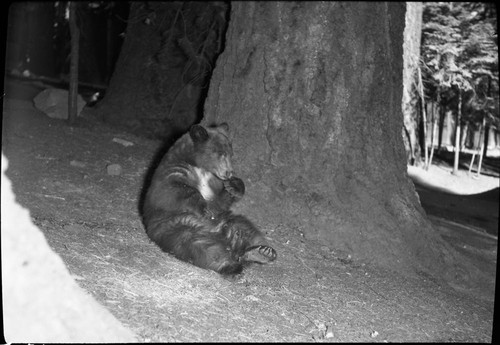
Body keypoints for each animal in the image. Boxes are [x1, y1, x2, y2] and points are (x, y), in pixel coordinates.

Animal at [143, 123, 278, 274]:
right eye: (221, 154)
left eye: (231, 154)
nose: (229, 172)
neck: (201, 168)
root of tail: (224, 237)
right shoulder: (172, 171)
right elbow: (172, 190)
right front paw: (204, 208)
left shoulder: (215, 183)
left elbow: (220, 201)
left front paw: (234, 186)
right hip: (178, 227)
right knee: (202, 247)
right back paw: (230, 264)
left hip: (229, 221)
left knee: (247, 229)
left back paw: (262, 252)